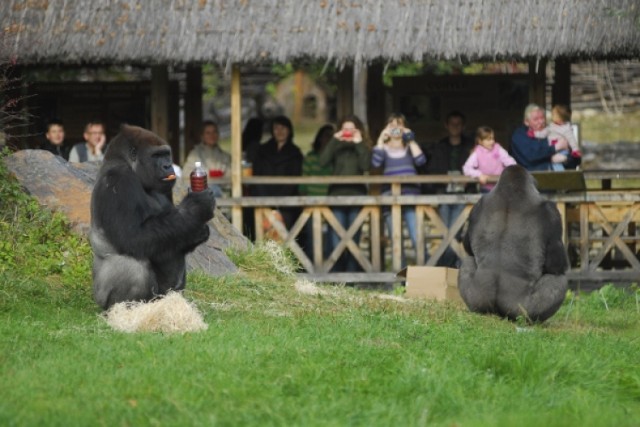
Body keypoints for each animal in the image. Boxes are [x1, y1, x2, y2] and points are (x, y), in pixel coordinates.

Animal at [90, 125, 215, 310]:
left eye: (166, 154)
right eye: (156, 156)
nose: (168, 165)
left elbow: (179, 232)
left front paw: (199, 230)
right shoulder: (119, 180)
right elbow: (134, 236)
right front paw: (196, 207)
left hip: (163, 296)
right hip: (103, 298)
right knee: (133, 267)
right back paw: (128, 310)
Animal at [458, 166, 568, 322]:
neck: (510, 191)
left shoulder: (477, 206)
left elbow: (467, 246)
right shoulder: (551, 213)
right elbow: (556, 264)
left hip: (479, 300)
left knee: (467, 261)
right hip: (521, 310)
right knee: (558, 279)